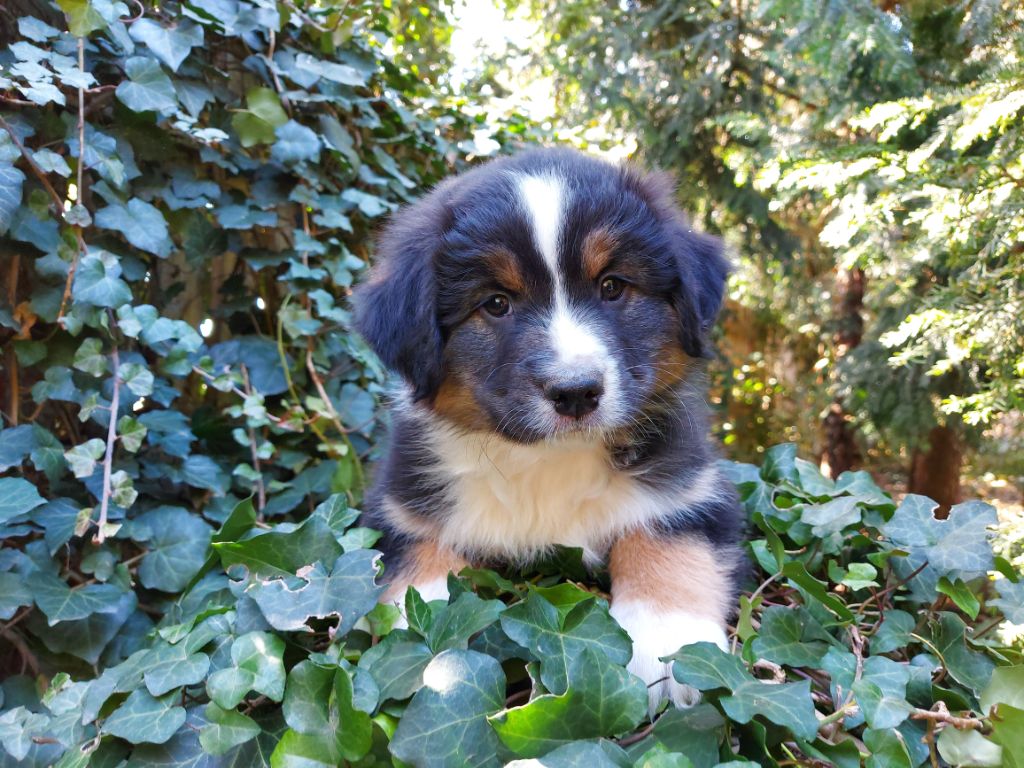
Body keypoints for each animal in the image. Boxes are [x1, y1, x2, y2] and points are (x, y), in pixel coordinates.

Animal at [354, 147, 743, 708]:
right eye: (496, 303)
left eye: (612, 287)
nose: (575, 391)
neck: (549, 461)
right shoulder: (401, 507)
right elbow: (416, 570)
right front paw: (421, 644)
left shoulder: (693, 484)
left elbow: (667, 537)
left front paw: (666, 641)